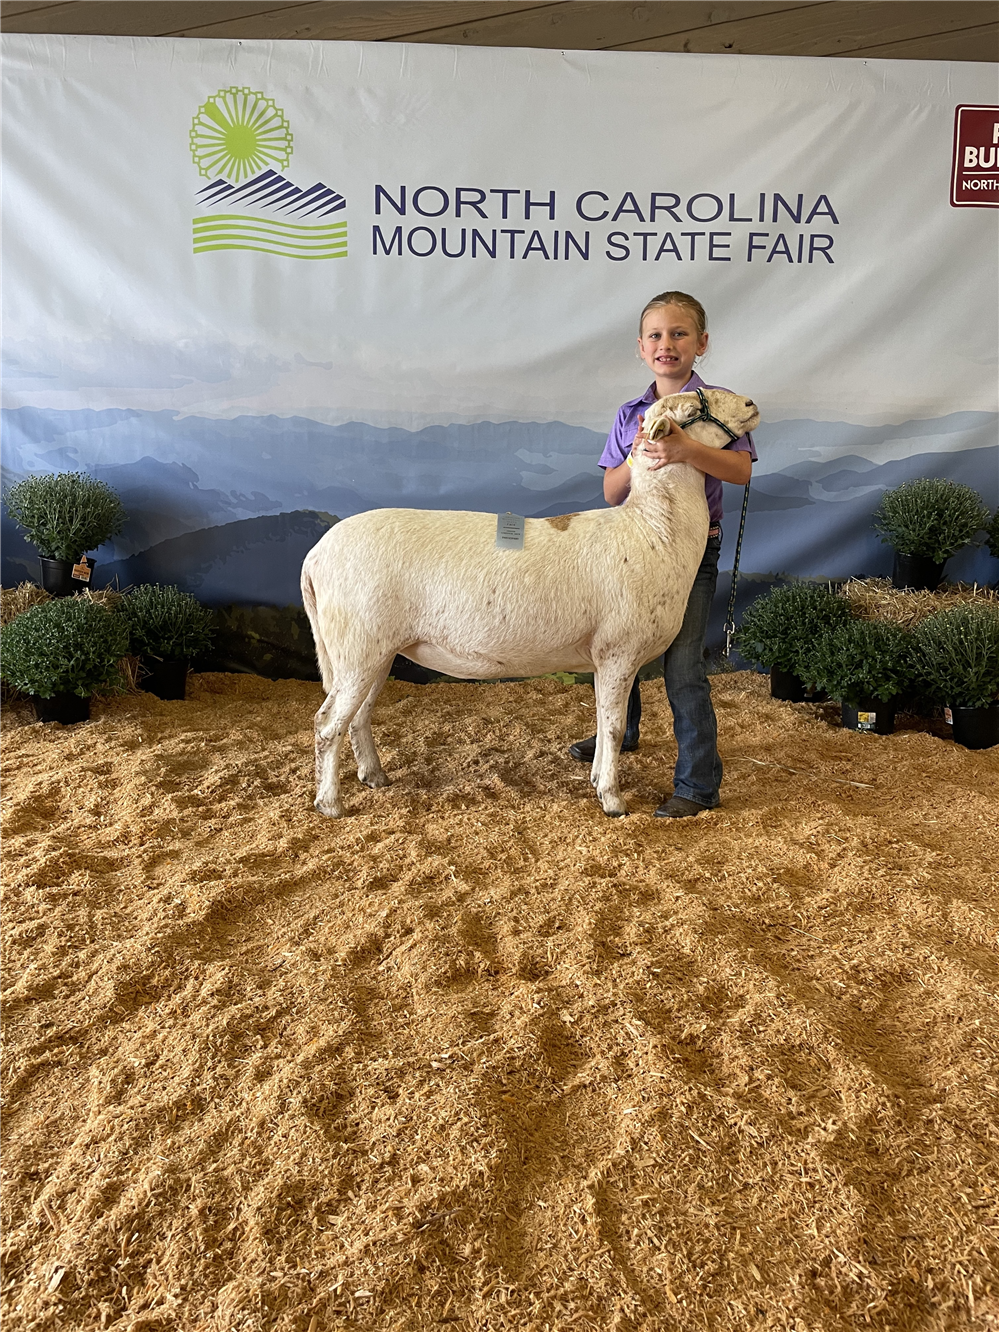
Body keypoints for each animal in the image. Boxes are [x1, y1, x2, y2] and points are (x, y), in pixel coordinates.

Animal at [301, 388, 761, 815]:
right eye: (693, 408)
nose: (752, 404)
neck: (651, 530)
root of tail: (315, 556)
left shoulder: (603, 657)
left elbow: (601, 720)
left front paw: (597, 779)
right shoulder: (619, 651)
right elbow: (613, 728)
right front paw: (613, 801)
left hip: (374, 651)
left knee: (358, 716)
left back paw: (374, 776)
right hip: (358, 646)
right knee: (327, 724)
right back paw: (330, 803)